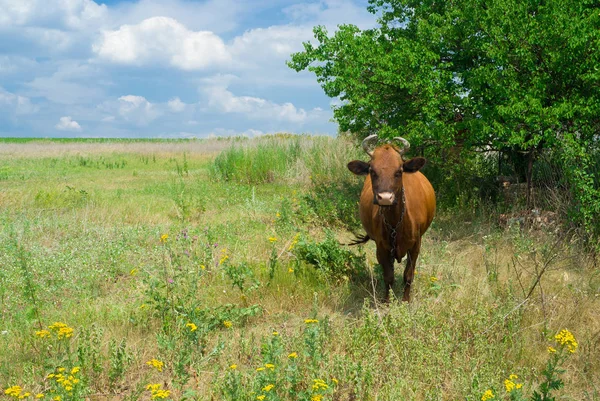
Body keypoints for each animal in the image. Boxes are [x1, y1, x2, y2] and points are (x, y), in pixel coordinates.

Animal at [346, 134, 436, 300]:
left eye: (399, 171)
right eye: (372, 171)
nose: (385, 198)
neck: (396, 223)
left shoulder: (416, 246)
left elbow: (408, 275)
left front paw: (406, 300)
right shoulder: (381, 247)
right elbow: (388, 276)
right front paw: (387, 301)